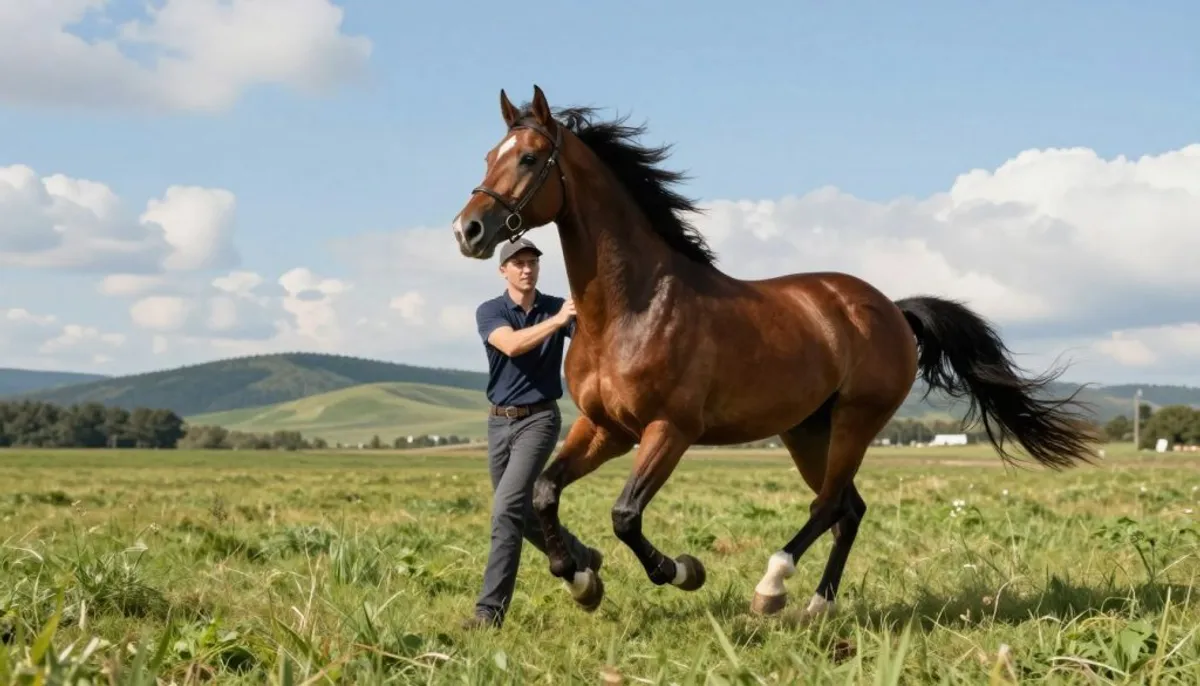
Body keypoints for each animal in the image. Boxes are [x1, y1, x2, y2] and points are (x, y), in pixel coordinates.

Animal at [449, 85, 1100, 621]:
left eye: (528, 158)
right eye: (487, 156)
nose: (467, 230)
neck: (631, 308)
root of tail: (891, 307)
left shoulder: (670, 430)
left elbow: (625, 515)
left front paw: (683, 572)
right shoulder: (606, 427)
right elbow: (543, 492)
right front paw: (581, 581)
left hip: (855, 421)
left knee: (829, 504)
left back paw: (773, 588)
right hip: (807, 431)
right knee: (848, 509)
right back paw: (816, 605)